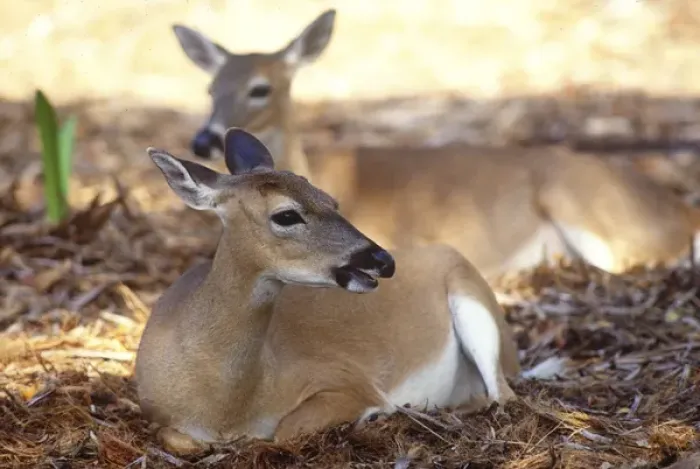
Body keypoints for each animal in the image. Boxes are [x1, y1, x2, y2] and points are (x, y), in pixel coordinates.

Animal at [134, 128, 521, 455]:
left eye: (330, 200)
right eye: (286, 215)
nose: (382, 260)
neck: (224, 406)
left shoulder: (345, 378)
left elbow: (284, 430)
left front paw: (375, 414)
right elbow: (175, 437)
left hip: (472, 301)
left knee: (502, 395)